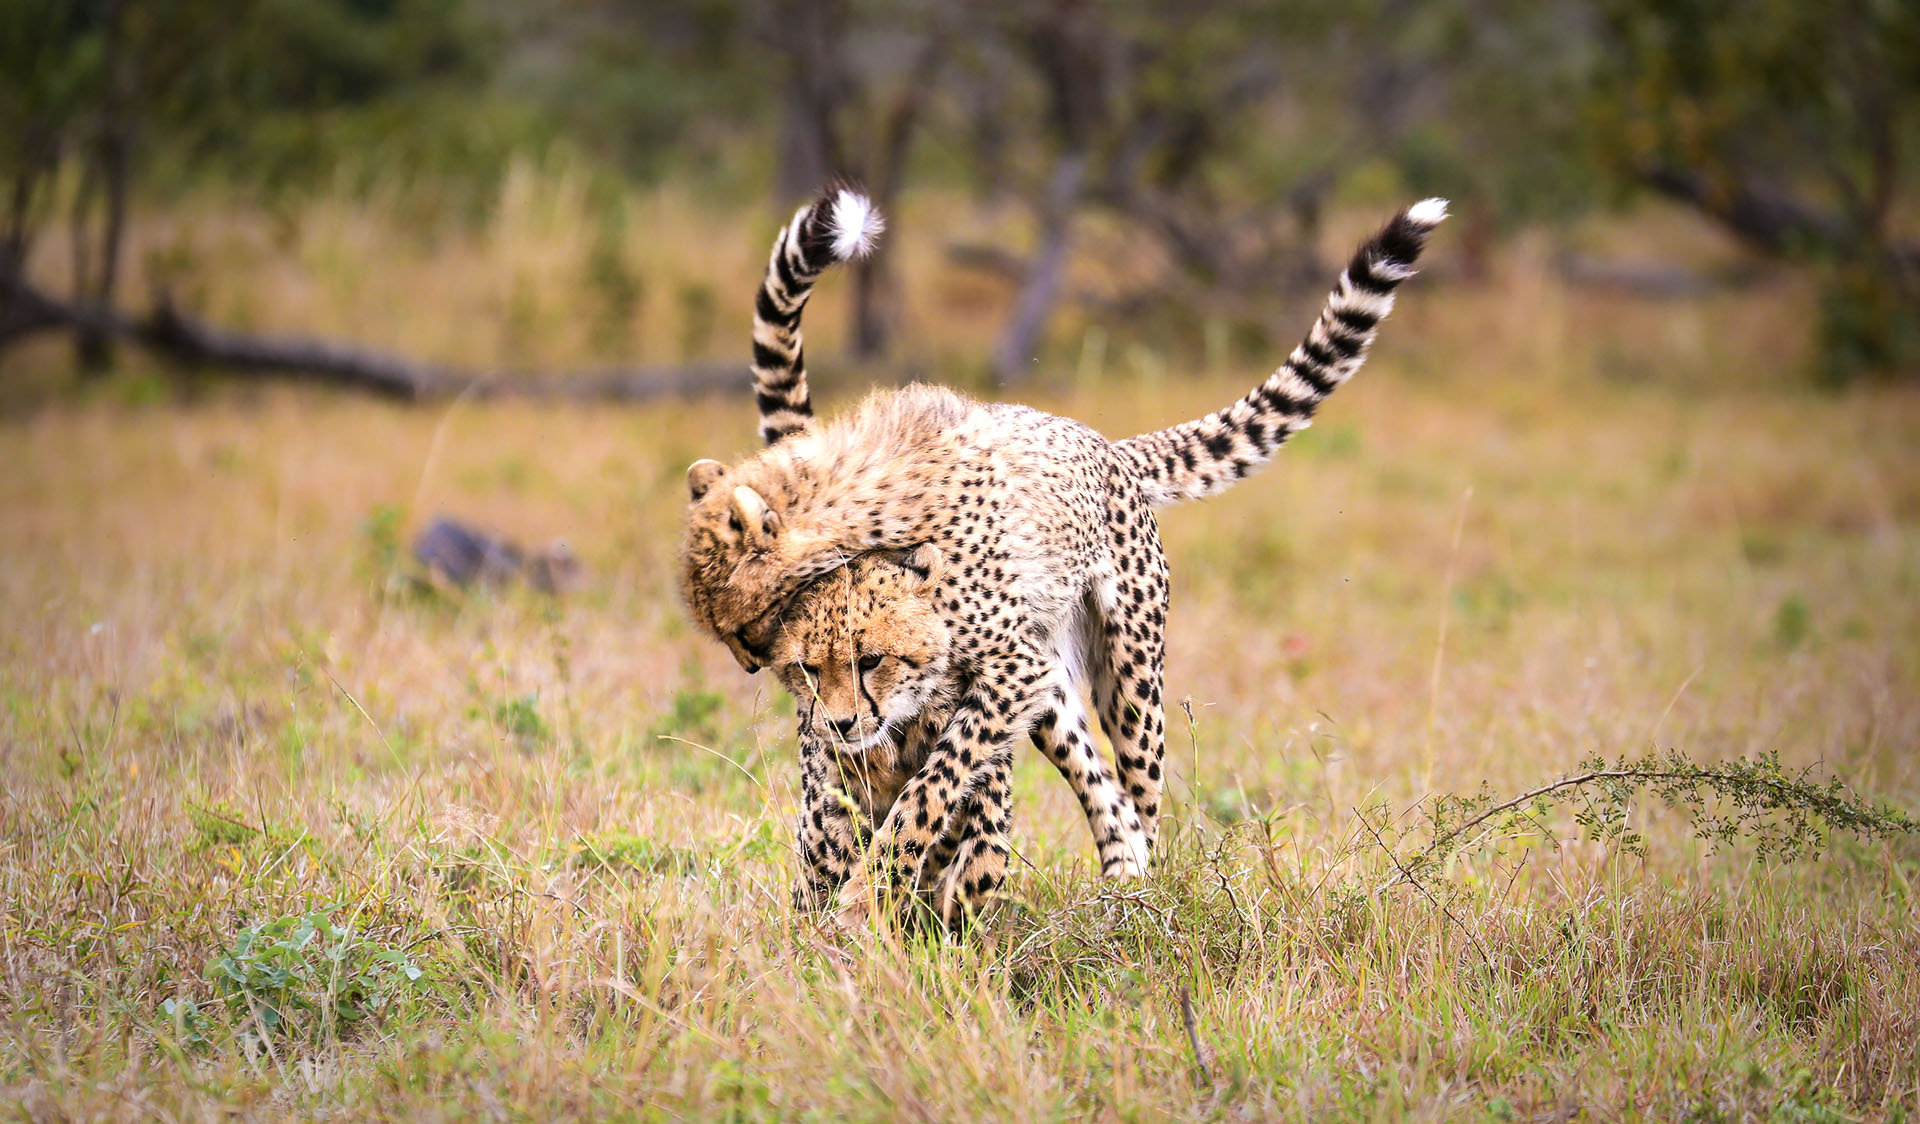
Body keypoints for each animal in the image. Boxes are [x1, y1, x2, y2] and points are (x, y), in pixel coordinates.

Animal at [682, 188, 1447, 925]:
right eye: (805, 667)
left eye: (870, 660)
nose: (837, 718)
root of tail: (1108, 445)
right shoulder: (867, 749)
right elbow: (846, 833)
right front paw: (841, 922)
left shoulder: (1001, 673)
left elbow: (942, 797)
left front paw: (888, 899)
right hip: (1052, 691)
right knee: (1098, 789)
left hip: (1126, 674)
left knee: (1137, 792)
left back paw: (1132, 901)